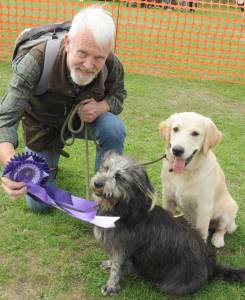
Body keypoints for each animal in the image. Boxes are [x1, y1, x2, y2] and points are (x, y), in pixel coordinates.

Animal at [90, 151, 245, 296]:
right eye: (105, 168)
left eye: (119, 177)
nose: (97, 184)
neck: (123, 206)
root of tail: (211, 265)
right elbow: (114, 262)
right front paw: (109, 265)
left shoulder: (122, 247)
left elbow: (117, 268)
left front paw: (111, 286)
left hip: (172, 285)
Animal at [160, 111, 238, 247]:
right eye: (175, 129)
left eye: (195, 133)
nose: (177, 150)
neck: (185, 172)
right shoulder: (168, 198)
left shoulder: (203, 208)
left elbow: (202, 232)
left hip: (229, 210)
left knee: (222, 228)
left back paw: (218, 239)